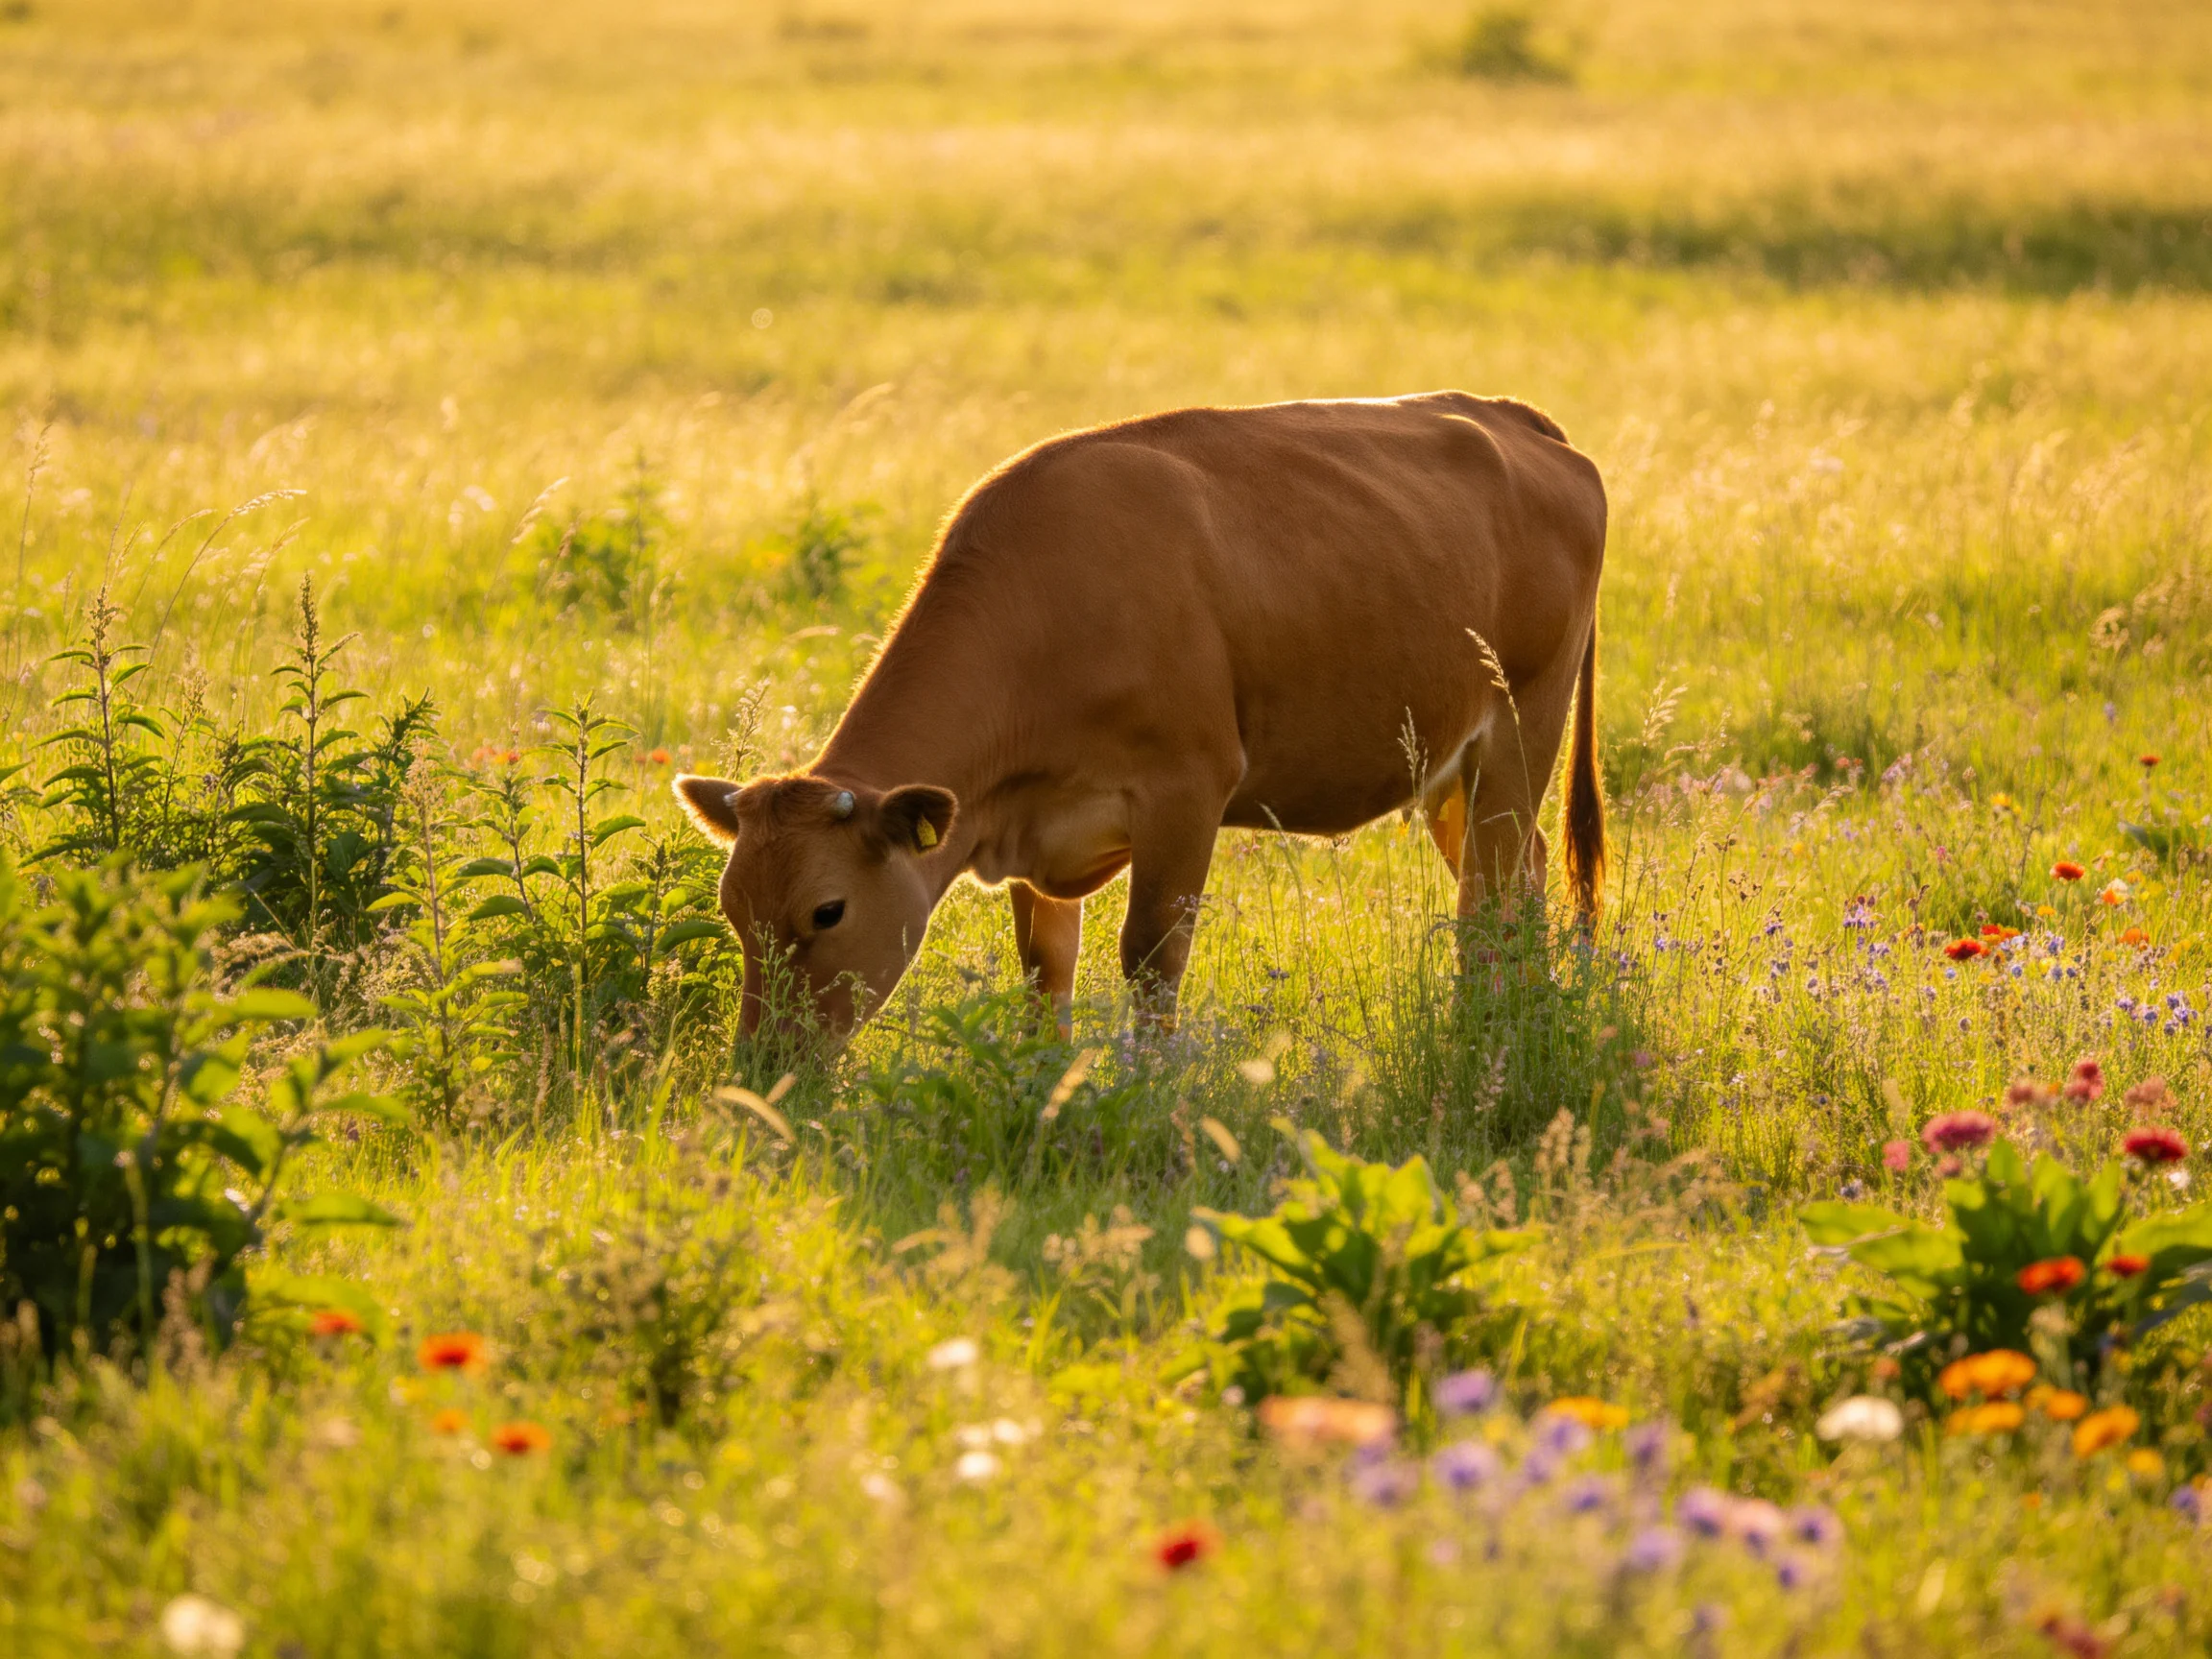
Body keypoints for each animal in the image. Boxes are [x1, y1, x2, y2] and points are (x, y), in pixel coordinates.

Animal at [676, 390, 1606, 1041]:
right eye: (733, 910)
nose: (763, 1063)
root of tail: (1508, 415)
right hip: (1452, 767)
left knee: (1488, 906)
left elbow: (1152, 961)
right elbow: (1043, 973)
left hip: (1524, 725)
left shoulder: (1187, 793)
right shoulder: (1031, 831)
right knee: (1516, 878)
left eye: (827, 911)